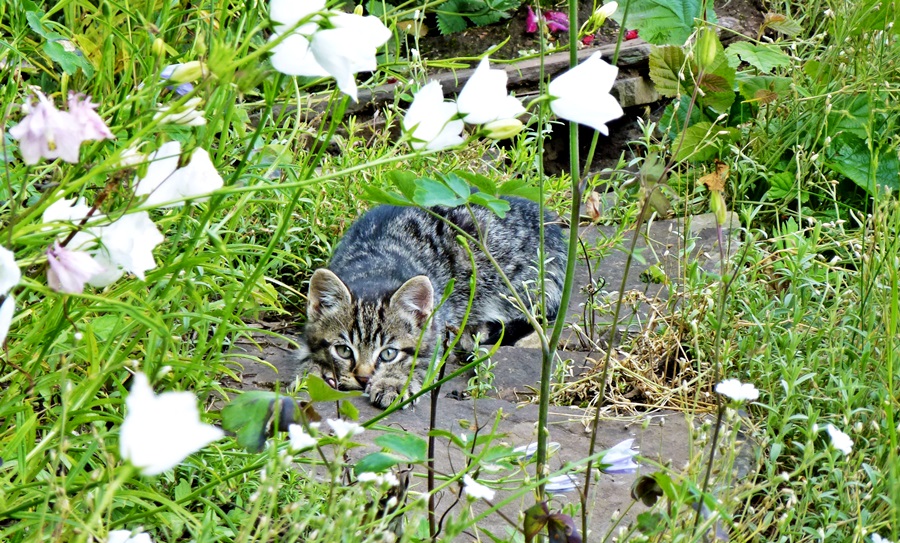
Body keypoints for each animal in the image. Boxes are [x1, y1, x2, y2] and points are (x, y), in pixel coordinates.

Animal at [298, 199, 568, 408]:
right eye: (344, 350)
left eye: (388, 354)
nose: (363, 378)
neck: (374, 267)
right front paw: (314, 372)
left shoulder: (437, 330)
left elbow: (422, 361)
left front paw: (393, 381)